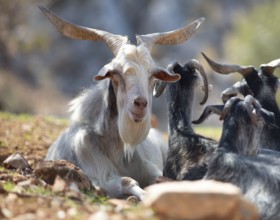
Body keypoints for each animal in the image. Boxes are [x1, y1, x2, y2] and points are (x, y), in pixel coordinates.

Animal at [40, 6, 203, 199]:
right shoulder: (100, 177)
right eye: (116, 72)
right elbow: (128, 181)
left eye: (153, 74)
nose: (140, 103)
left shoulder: (151, 168)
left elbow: (160, 179)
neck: (116, 147)